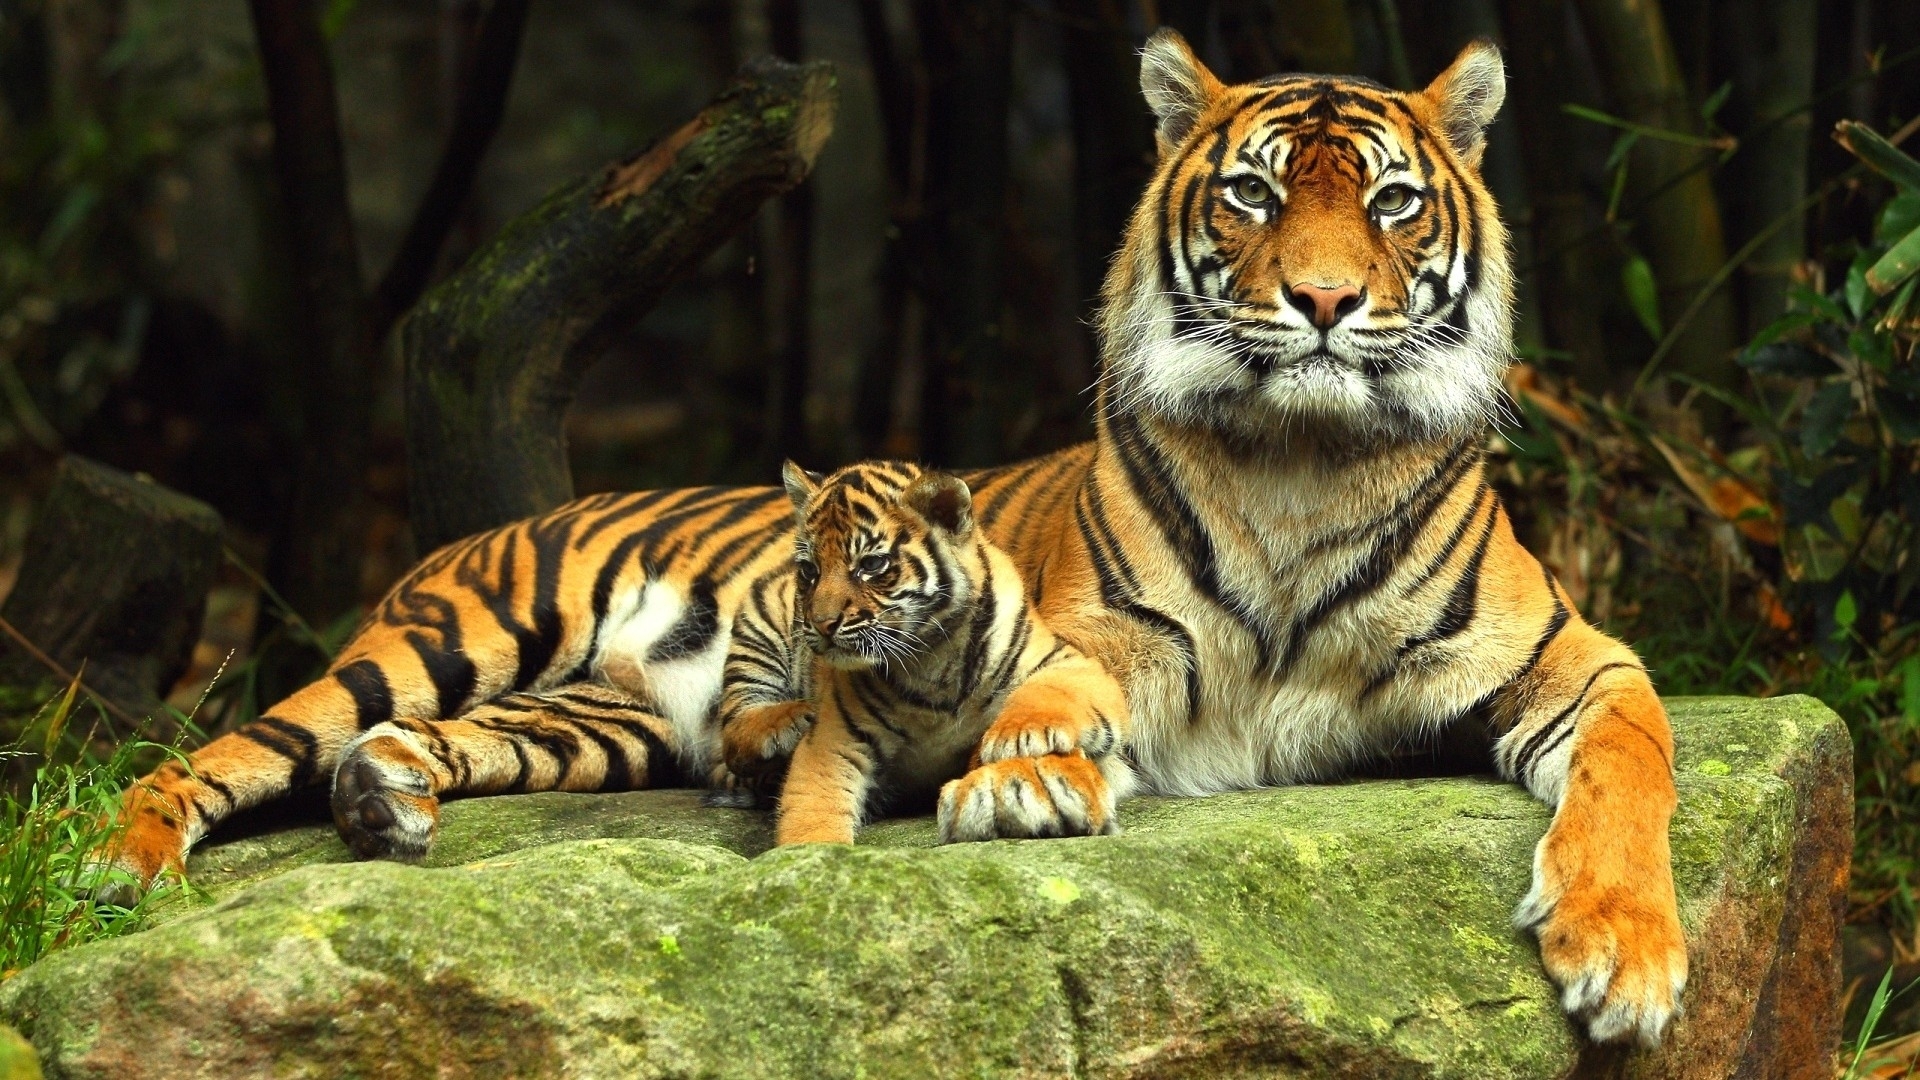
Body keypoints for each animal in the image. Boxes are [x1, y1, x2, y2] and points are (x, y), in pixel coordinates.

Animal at [768, 460, 1132, 846]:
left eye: (871, 565)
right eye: (810, 570)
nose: (822, 624)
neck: (931, 657)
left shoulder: (1072, 662)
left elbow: (1048, 693)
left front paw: (1014, 738)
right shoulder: (835, 741)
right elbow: (812, 811)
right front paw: (812, 853)